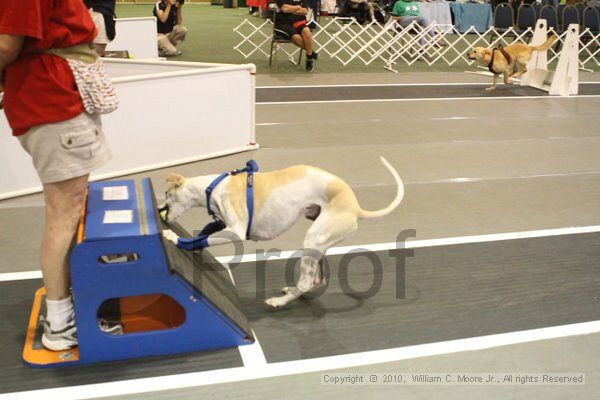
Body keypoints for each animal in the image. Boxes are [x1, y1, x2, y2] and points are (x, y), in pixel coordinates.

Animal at [161, 158, 404, 308]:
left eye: (166, 193)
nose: (160, 210)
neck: (212, 187)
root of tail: (356, 208)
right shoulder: (223, 225)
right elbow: (205, 233)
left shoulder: (236, 231)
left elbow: (203, 239)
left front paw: (176, 238)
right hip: (319, 245)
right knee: (317, 279)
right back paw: (290, 292)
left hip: (314, 240)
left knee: (307, 282)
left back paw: (278, 301)